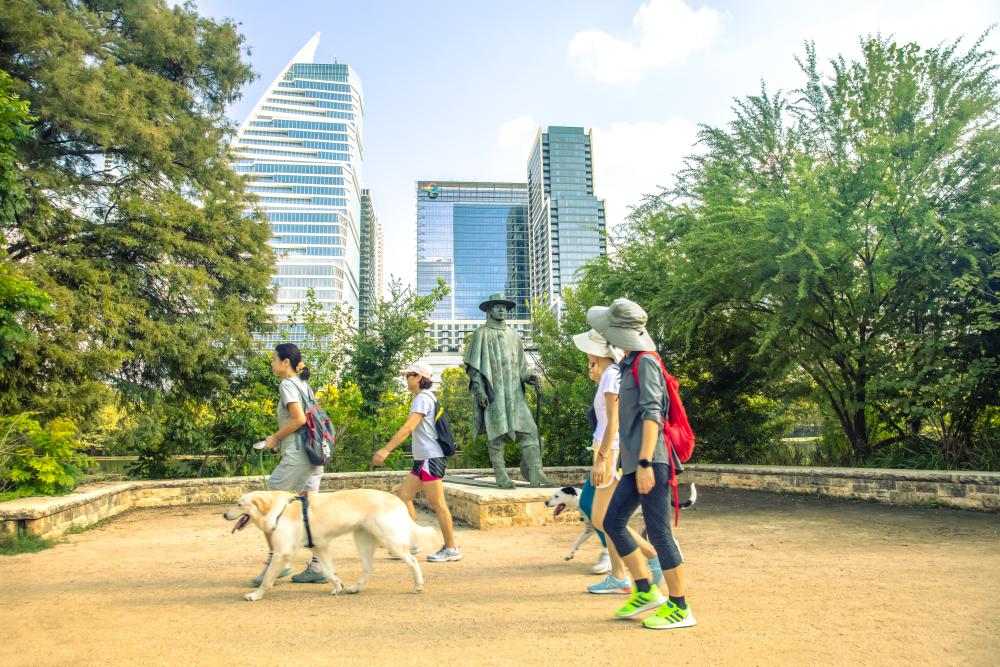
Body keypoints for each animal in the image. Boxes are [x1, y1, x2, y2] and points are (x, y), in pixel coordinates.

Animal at [227, 488, 438, 604]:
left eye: (239, 504)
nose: (224, 515)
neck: (279, 510)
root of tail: (398, 500)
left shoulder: (282, 553)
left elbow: (267, 578)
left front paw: (255, 595)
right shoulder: (319, 546)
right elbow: (329, 571)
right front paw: (338, 586)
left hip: (390, 540)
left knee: (412, 561)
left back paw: (418, 585)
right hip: (362, 540)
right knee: (369, 567)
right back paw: (354, 588)